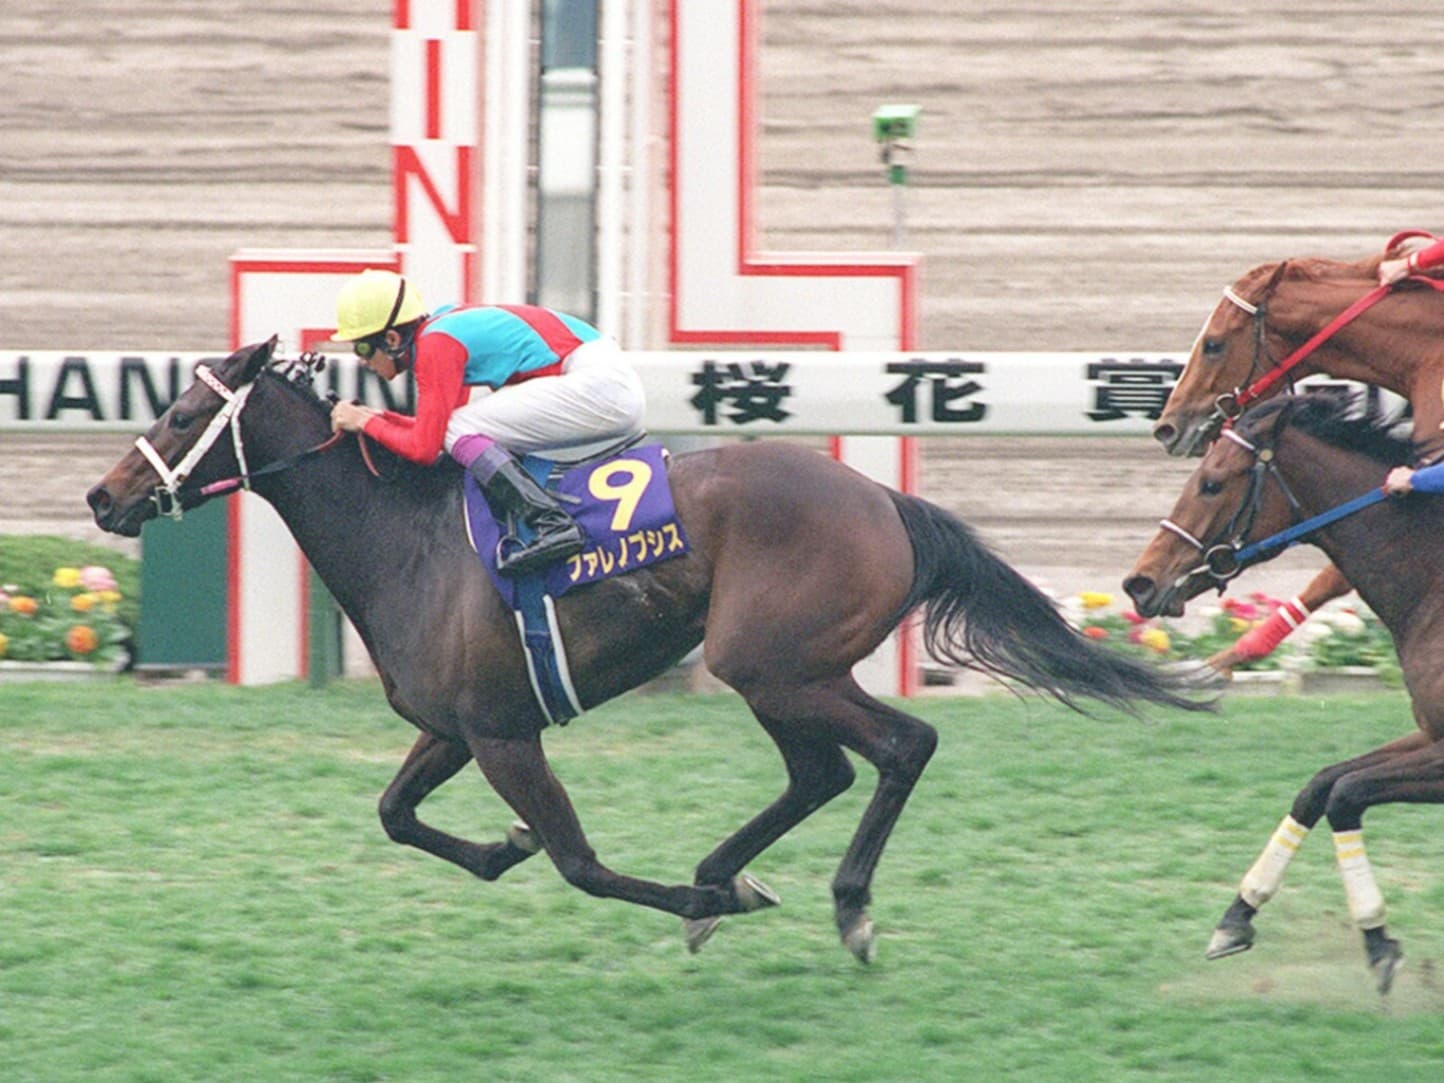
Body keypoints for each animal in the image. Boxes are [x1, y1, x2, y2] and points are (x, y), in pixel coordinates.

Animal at [86, 338, 1209, 963]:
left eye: (180, 411)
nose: (101, 497)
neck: (405, 538)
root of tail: (884, 498)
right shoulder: (459, 725)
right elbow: (397, 814)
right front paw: (506, 847)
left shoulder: (506, 735)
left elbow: (580, 863)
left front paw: (696, 898)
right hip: (784, 671)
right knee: (825, 772)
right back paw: (735, 871)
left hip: (772, 662)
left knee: (899, 747)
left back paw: (833, 904)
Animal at [1122, 389, 1444, 994]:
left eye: (1211, 482)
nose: (1139, 582)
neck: (1434, 585)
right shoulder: (1427, 733)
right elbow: (1322, 785)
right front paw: (1236, 916)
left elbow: (1346, 794)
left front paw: (1376, 939)